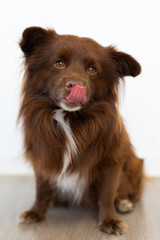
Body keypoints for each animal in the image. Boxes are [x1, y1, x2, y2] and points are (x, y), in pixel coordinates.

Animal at [17, 26, 144, 234]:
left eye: (92, 70)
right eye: (59, 63)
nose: (75, 85)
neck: (69, 119)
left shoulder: (113, 159)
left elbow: (107, 193)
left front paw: (109, 220)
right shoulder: (42, 156)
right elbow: (41, 188)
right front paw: (35, 212)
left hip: (135, 163)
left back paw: (124, 202)